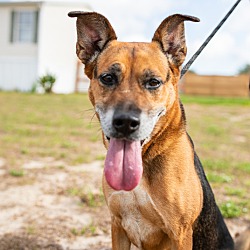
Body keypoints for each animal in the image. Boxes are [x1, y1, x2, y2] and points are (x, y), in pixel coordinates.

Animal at [69, 11, 236, 248]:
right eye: (108, 78)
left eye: (154, 82)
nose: (126, 123)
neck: (143, 159)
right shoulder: (117, 225)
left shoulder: (180, 234)